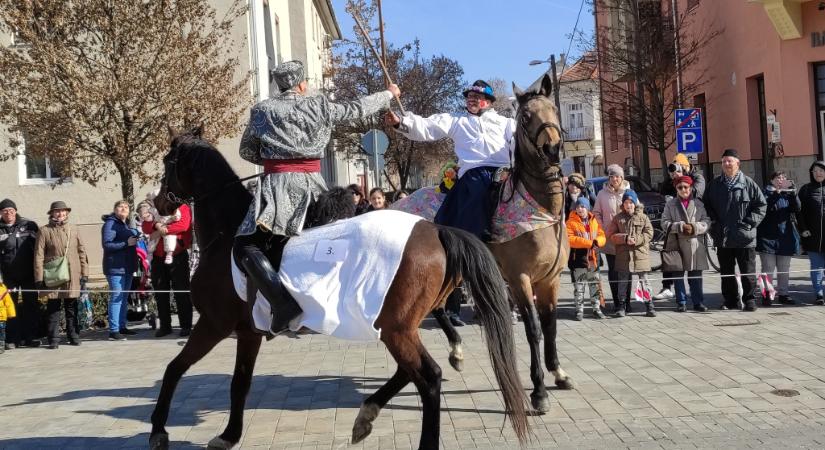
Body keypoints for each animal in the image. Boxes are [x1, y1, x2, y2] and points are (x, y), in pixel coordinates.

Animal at [146, 128, 528, 448]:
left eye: (167, 162)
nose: (159, 203)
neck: (228, 232)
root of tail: (436, 229)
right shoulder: (247, 331)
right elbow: (239, 383)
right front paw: (228, 435)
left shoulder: (213, 324)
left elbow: (174, 369)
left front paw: (158, 430)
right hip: (396, 326)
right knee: (409, 371)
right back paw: (367, 415)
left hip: (395, 328)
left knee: (428, 377)